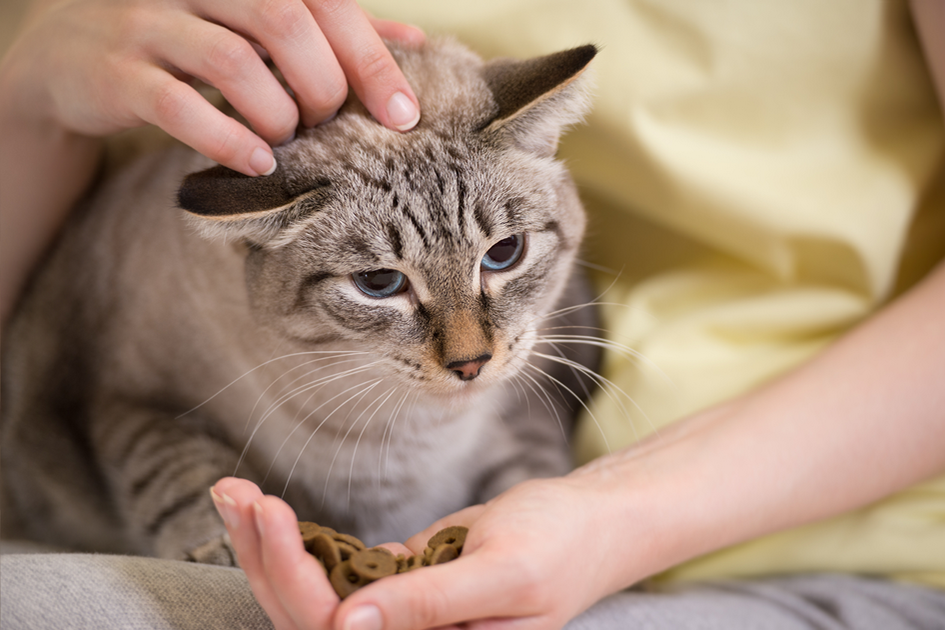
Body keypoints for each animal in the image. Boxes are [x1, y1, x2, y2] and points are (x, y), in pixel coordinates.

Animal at [0, 37, 596, 564]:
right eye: (380, 283)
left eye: (504, 253)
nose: (472, 364)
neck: (413, 430)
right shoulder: (121, 397)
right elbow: (180, 468)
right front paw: (221, 545)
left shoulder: (529, 404)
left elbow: (528, 475)